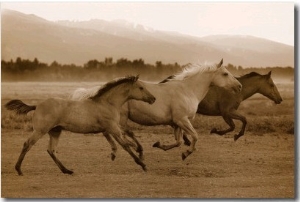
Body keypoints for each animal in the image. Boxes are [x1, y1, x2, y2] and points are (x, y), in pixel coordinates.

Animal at [5, 76, 156, 175]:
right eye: (141, 88)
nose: (153, 98)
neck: (107, 103)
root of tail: (37, 105)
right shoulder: (113, 128)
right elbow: (125, 145)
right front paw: (143, 164)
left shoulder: (111, 128)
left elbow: (126, 141)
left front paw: (137, 152)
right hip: (40, 130)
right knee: (27, 144)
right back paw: (19, 170)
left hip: (55, 131)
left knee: (51, 150)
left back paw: (67, 170)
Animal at [71, 58, 243, 161]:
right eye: (225, 74)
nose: (239, 86)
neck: (187, 90)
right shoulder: (182, 120)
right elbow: (194, 136)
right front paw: (186, 154)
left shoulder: (176, 123)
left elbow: (179, 141)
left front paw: (160, 145)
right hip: (119, 118)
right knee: (120, 132)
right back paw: (134, 149)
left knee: (112, 133)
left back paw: (120, 151)